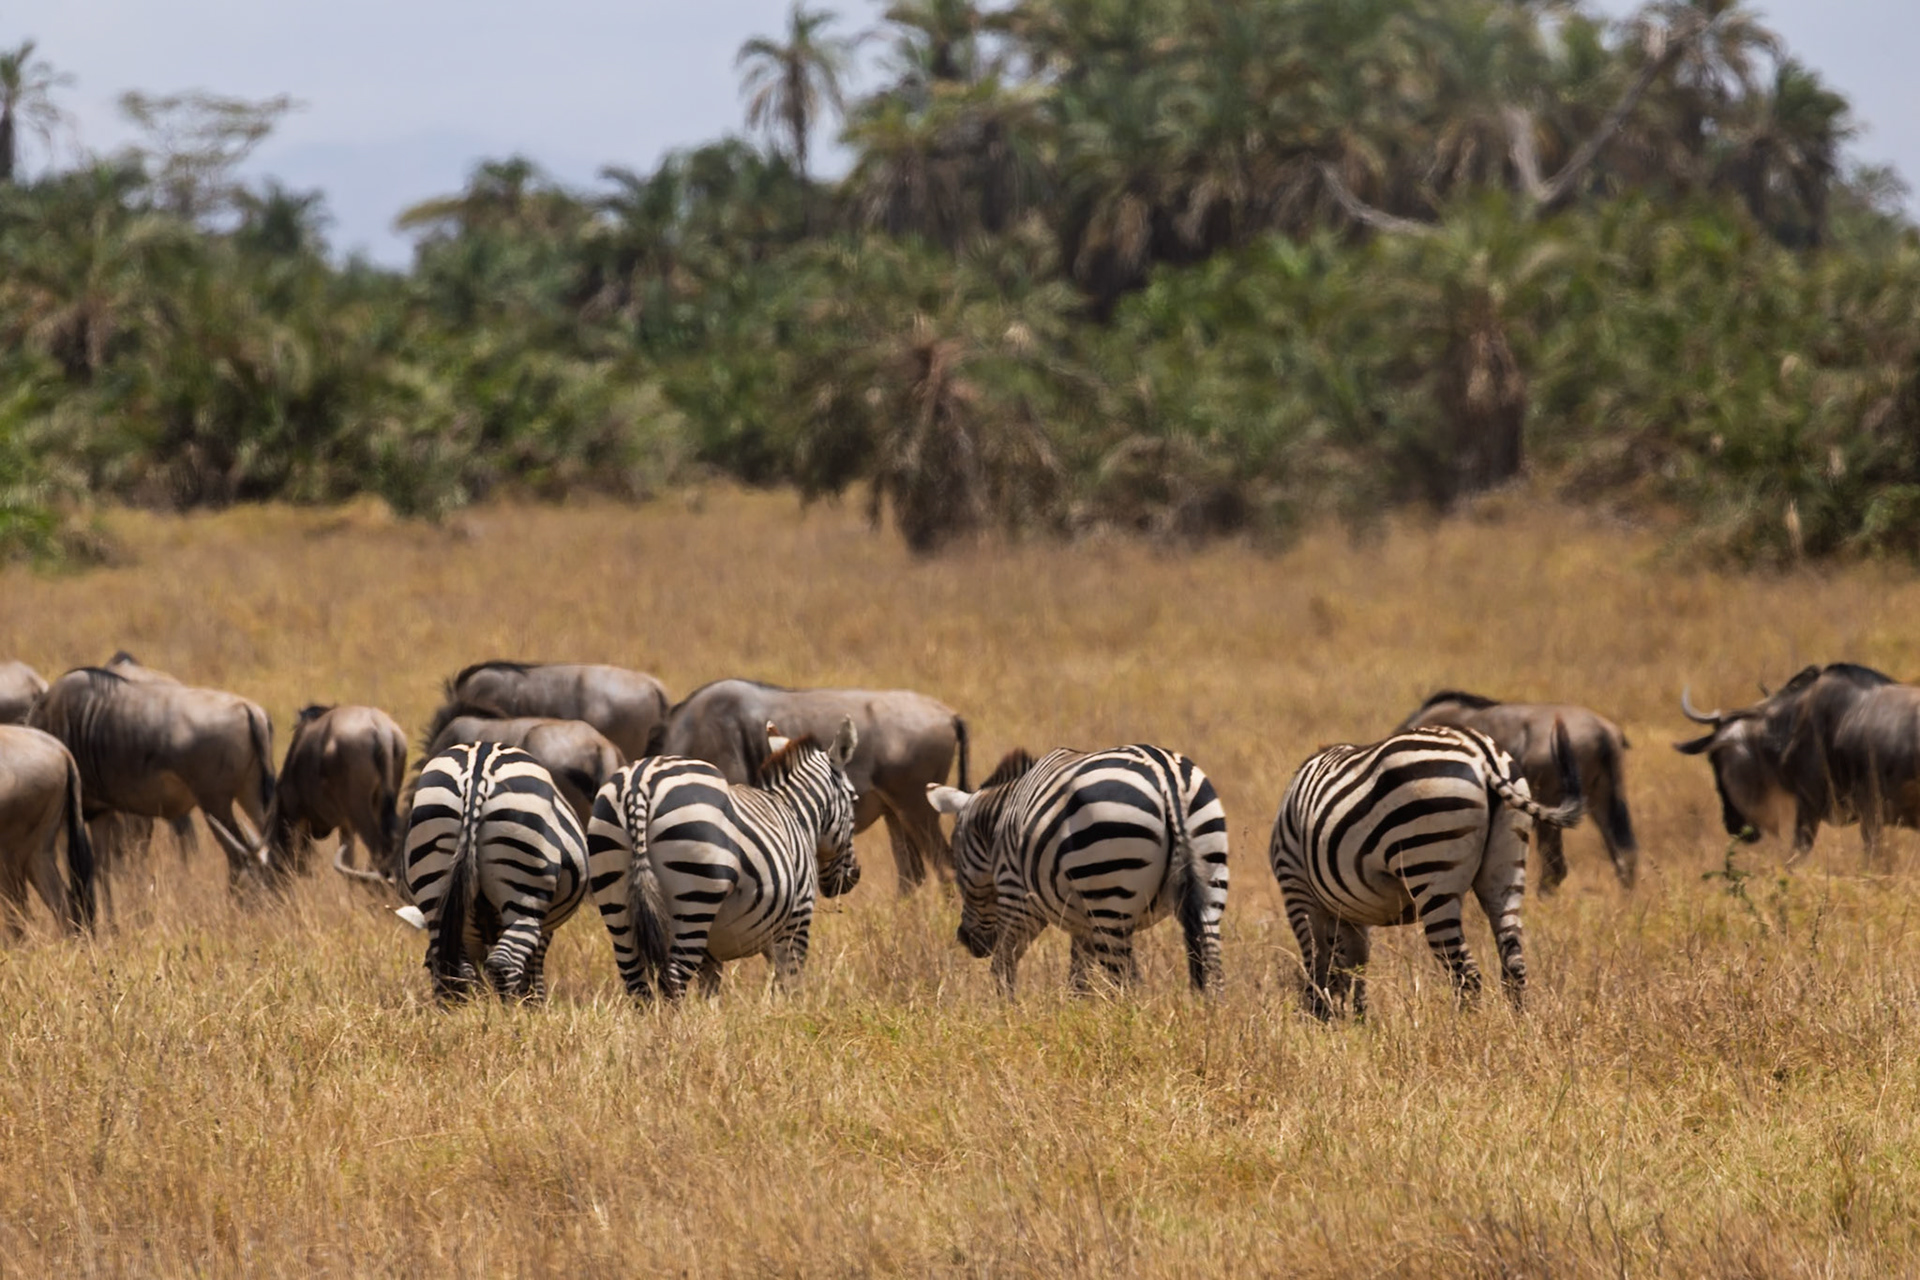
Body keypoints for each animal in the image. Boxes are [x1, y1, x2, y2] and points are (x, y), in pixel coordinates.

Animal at [402, 741, 588, 1002]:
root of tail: (477, 773)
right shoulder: (544, 926)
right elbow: (534, 968)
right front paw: (533, 1003)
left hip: (433, 871)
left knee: (449, 962)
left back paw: (457, 1008)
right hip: (525, 890)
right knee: (504, 963)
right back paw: (508, 1010)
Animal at [586, 718, 861, 1000]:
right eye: (854, 799)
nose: (855, 874)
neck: (796, 812)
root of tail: (639, 784)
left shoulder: (714, 950)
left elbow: (711, 990)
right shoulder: (797, 919)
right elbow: (788, 983)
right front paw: (790, 1008)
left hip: (615, 896)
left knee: (635, 982)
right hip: (697, 896)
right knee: (674, 978)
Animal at [926, 744, 1229, 995]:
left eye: (956, 861)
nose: (965, 939)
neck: (998, 820)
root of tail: (1167, 778)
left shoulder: (1018, 899)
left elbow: (1003, 966)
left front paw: (1006, 1014)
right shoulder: (1082, 923)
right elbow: (1078, 979)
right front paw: (1075, 1015)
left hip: (1110, 898)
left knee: (1125, 982)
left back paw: (1124, 1025)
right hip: (1209, 880)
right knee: (1213, 970)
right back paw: (1208, 1020)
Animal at [1268, 723, 1584, 1020]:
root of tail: (1482, 753)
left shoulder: (1295, 885)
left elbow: (1317, 959)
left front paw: (1325, 1019)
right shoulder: (1349, 910)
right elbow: (1355, 965)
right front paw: (1355, 1021)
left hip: (1429, 865)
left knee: (1467, 975)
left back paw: (1464, 1032)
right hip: (1506, 869)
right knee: (1514, 964)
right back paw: (1516, 1028)